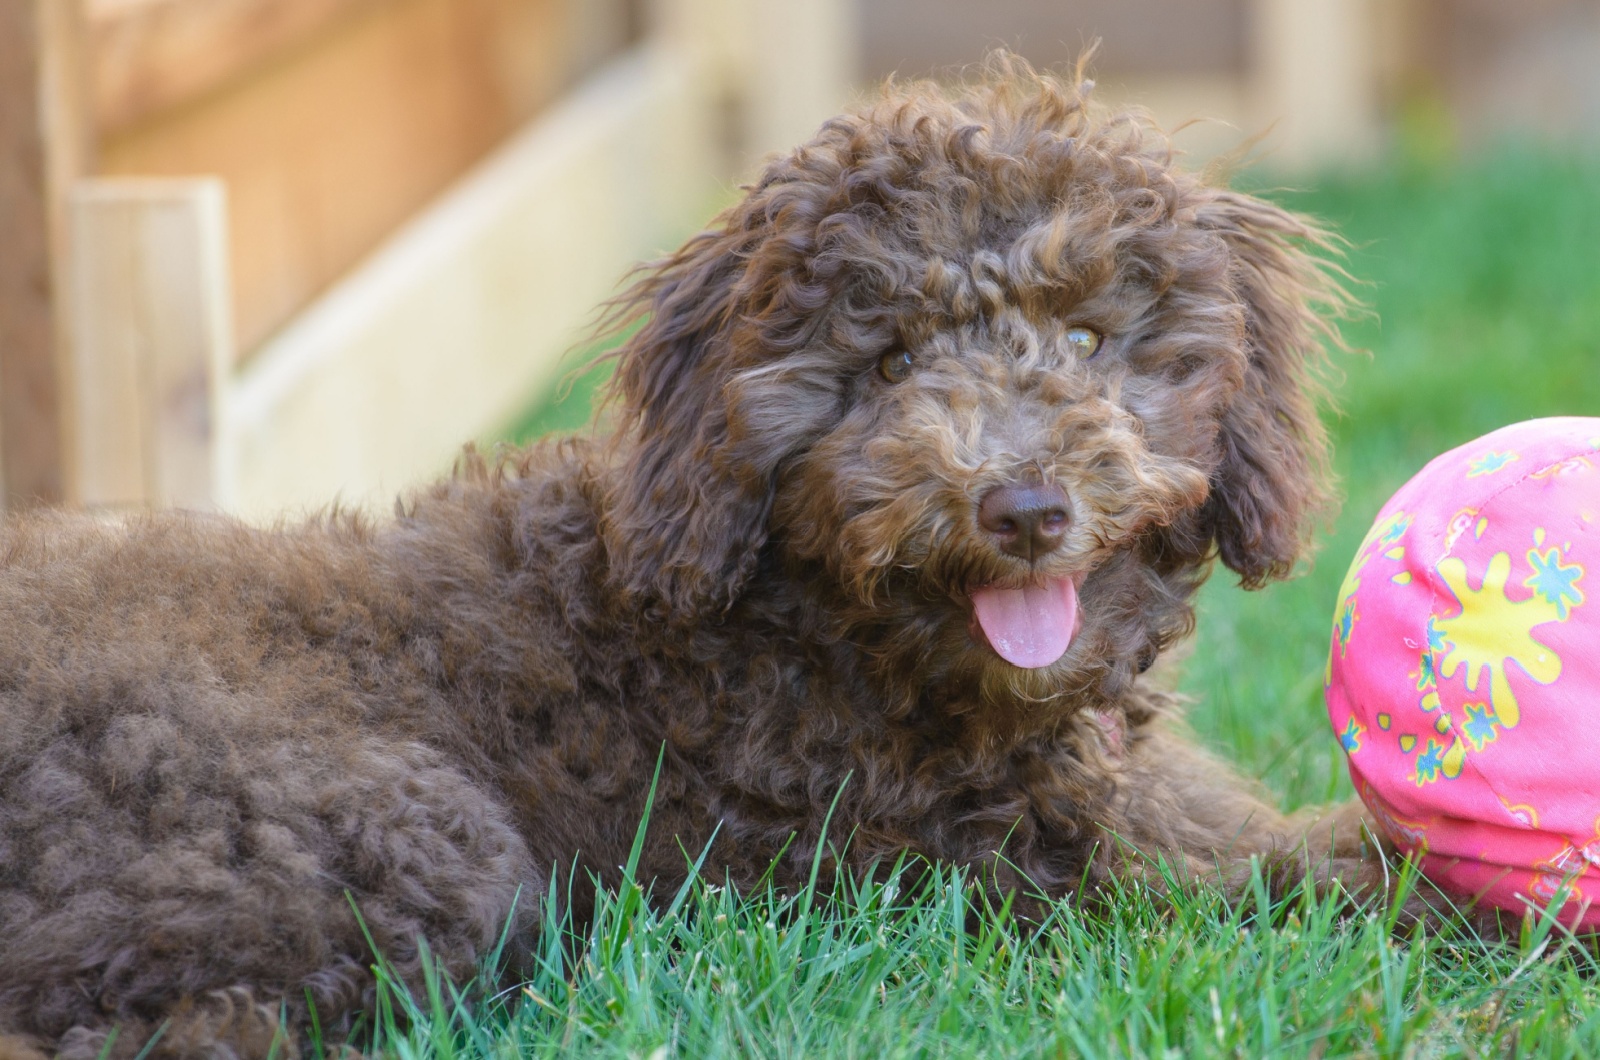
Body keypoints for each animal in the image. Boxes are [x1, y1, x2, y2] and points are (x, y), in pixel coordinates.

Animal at [0, 60, 1376, 1060]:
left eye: (1089, 337)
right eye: (886, 366)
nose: (1025, 506)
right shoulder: (952, 879)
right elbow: (1268, 883)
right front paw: (1414, 886)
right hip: (385, 834)